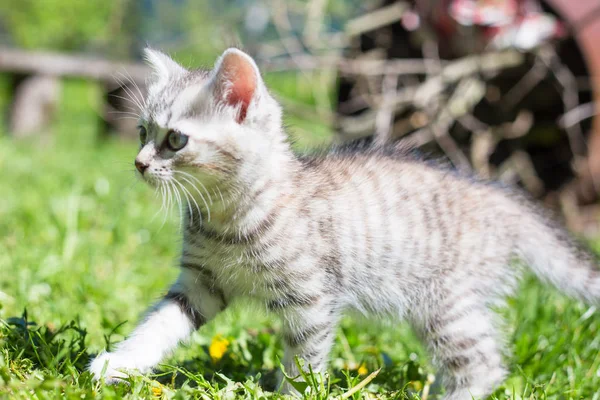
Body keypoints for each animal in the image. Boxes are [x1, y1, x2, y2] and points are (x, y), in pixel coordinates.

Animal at [89, 48, 600, 398]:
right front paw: (119, 363)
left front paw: (292, 395)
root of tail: (497, 193)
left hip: (446, 304)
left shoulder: (312, 299)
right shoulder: (199, 284)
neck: (227, 218)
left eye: (175, 140)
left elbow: (305, 359)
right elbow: (158, 325)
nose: (138, 163)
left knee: (486, 364)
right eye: (142, 132)